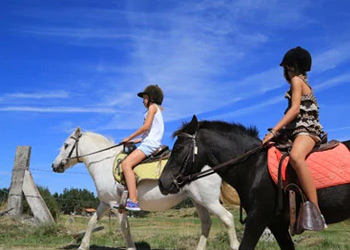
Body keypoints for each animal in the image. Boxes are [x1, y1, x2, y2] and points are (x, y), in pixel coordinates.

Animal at [50, 128, 239, 250]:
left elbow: (125, 229)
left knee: (228, 219)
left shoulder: (116, 205)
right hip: (198, 200)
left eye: (66, 145)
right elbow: (91, 223)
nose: (54, 165)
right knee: (206, 224)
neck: (104, 163)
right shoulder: (105, 203)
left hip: (208, 200)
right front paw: (83, 247)